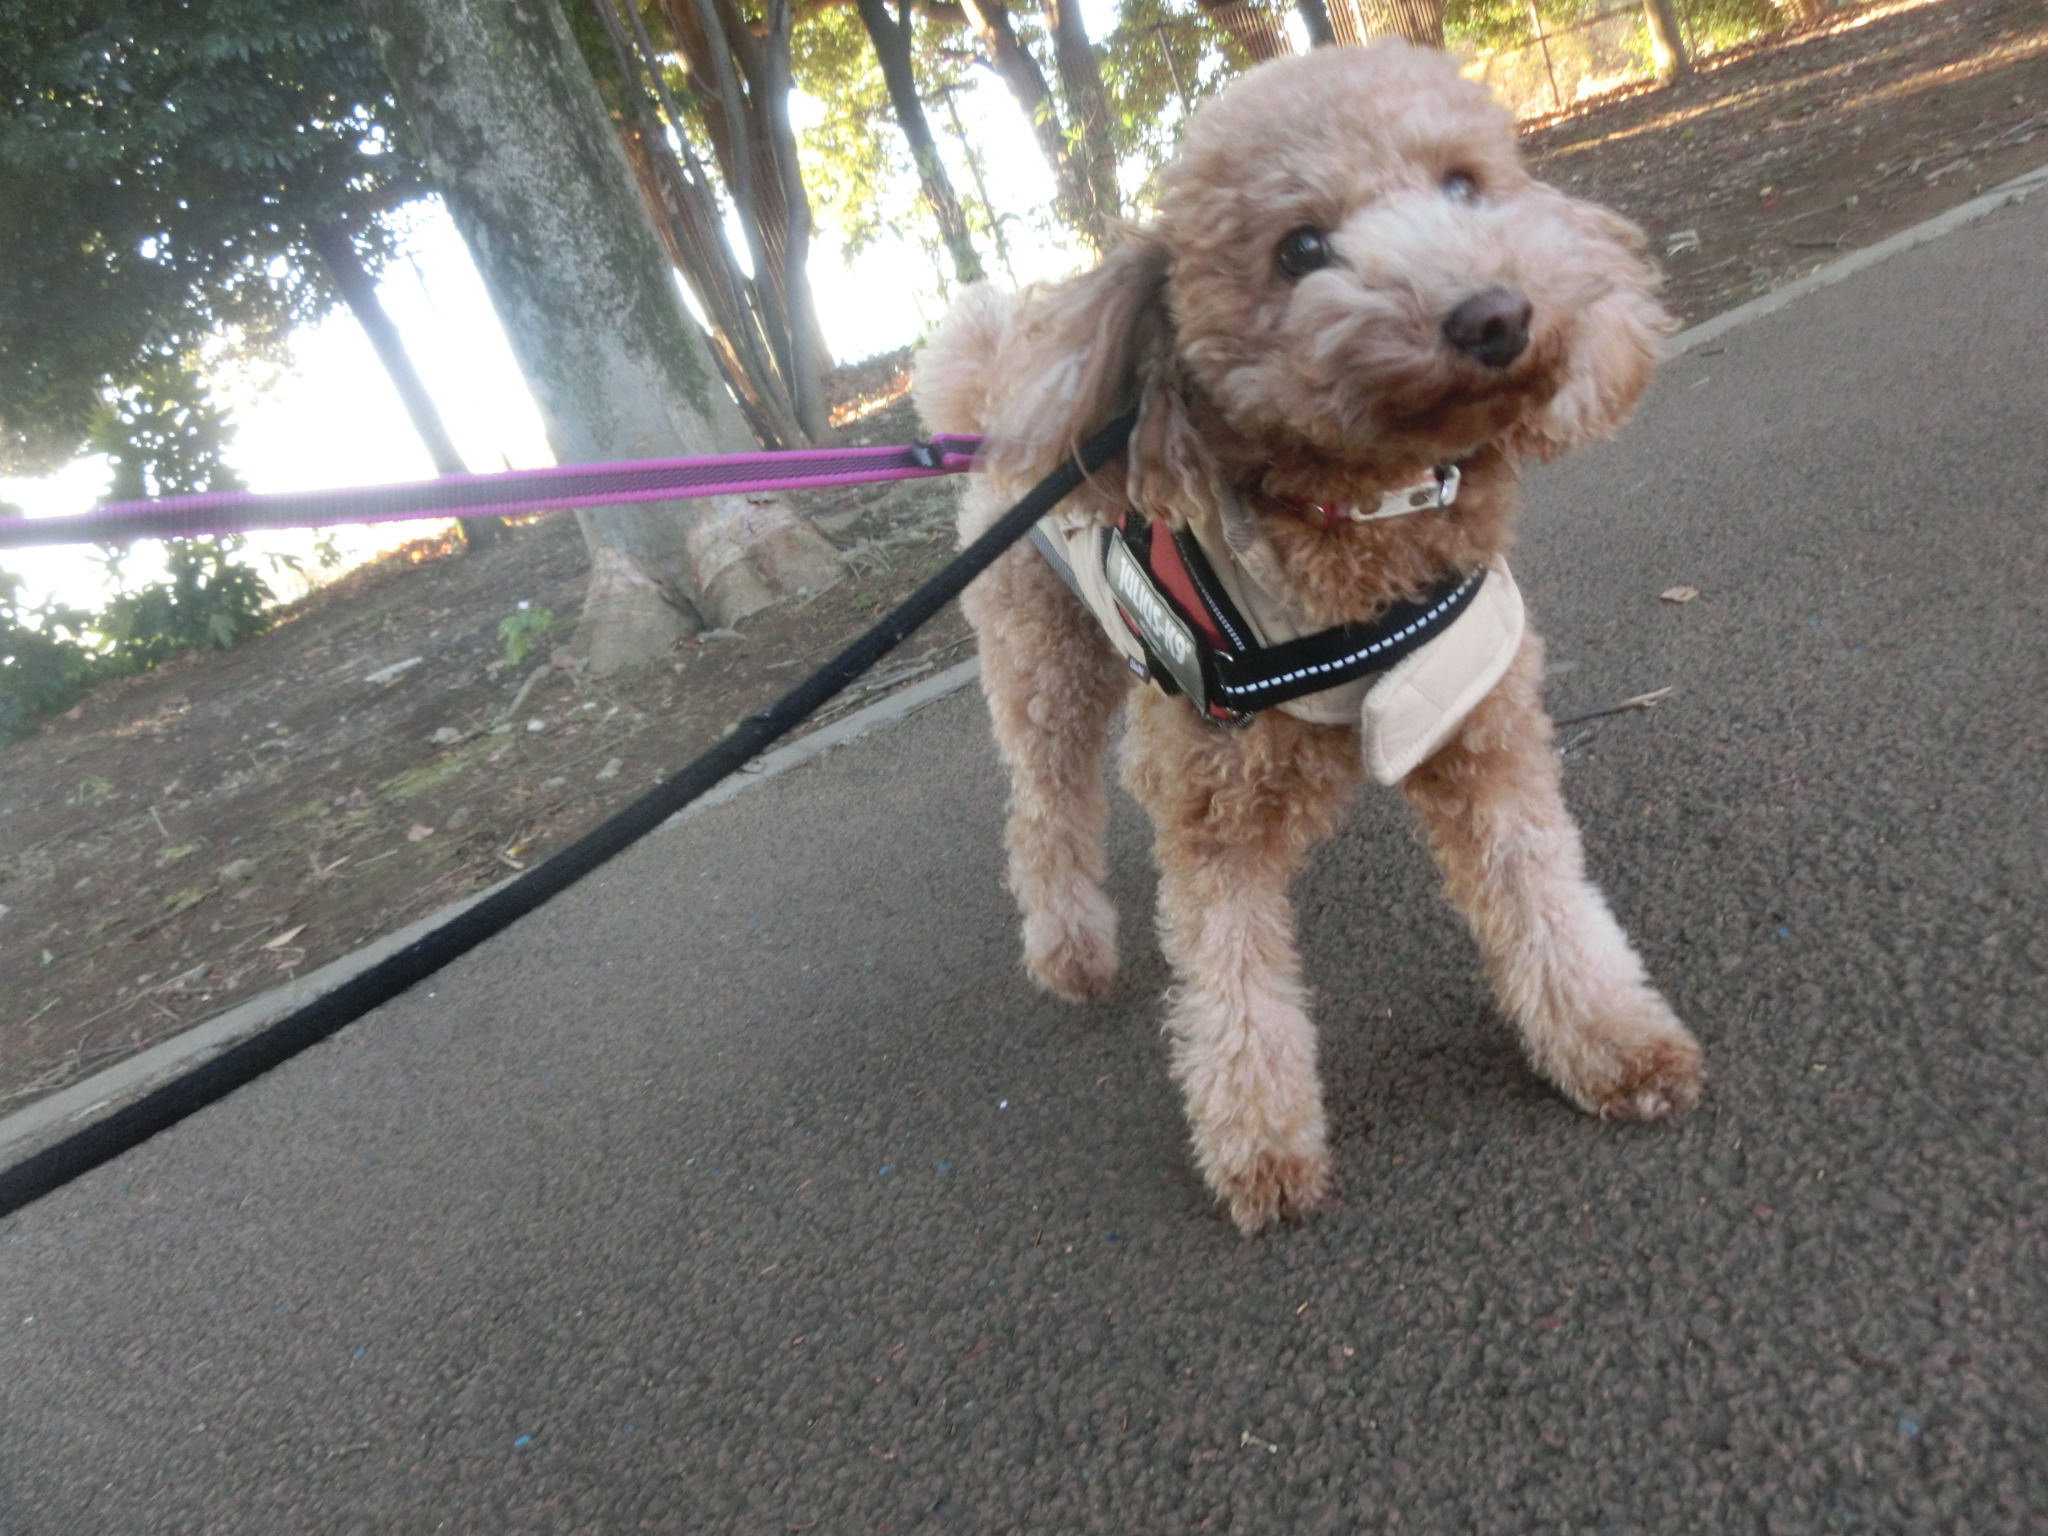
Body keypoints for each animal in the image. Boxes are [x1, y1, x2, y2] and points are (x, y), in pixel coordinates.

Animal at [915, 41, 1703, 1234]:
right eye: (1298, 250)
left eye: (1465, 186)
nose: (1491, 315)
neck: (1360, 530)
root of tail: (993, 395)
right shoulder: (1213, 808)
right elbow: (1234, 988)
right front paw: (1260, 1148)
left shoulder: (1480, 731)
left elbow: (1544, 901)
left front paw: (1610, 1042)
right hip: (1039, 655)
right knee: (1044, 813)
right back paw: (1072, 951)